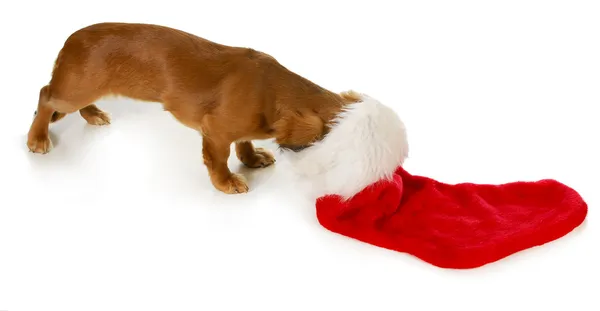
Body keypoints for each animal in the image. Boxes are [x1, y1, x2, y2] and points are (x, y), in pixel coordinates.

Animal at [27, 23, 366, 195]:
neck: (271, 90)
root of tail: (72, 39)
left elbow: (244, 142)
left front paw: (252, 158)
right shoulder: (215, 131)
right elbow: (219, 160)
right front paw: (226, 181)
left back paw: (93, 113)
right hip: (73, 91)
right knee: (45, 96)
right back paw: (37, 138)